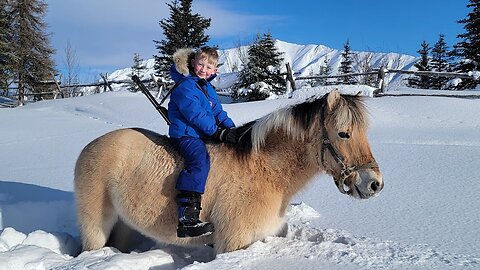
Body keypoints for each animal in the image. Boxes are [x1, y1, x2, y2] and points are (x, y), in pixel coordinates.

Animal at [74, 89, 382, 254]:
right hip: (95, 227)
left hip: (124, 224)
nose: (374, 184)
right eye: (343, 133)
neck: (265, 170)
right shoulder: (234, 243)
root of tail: (91, 145)